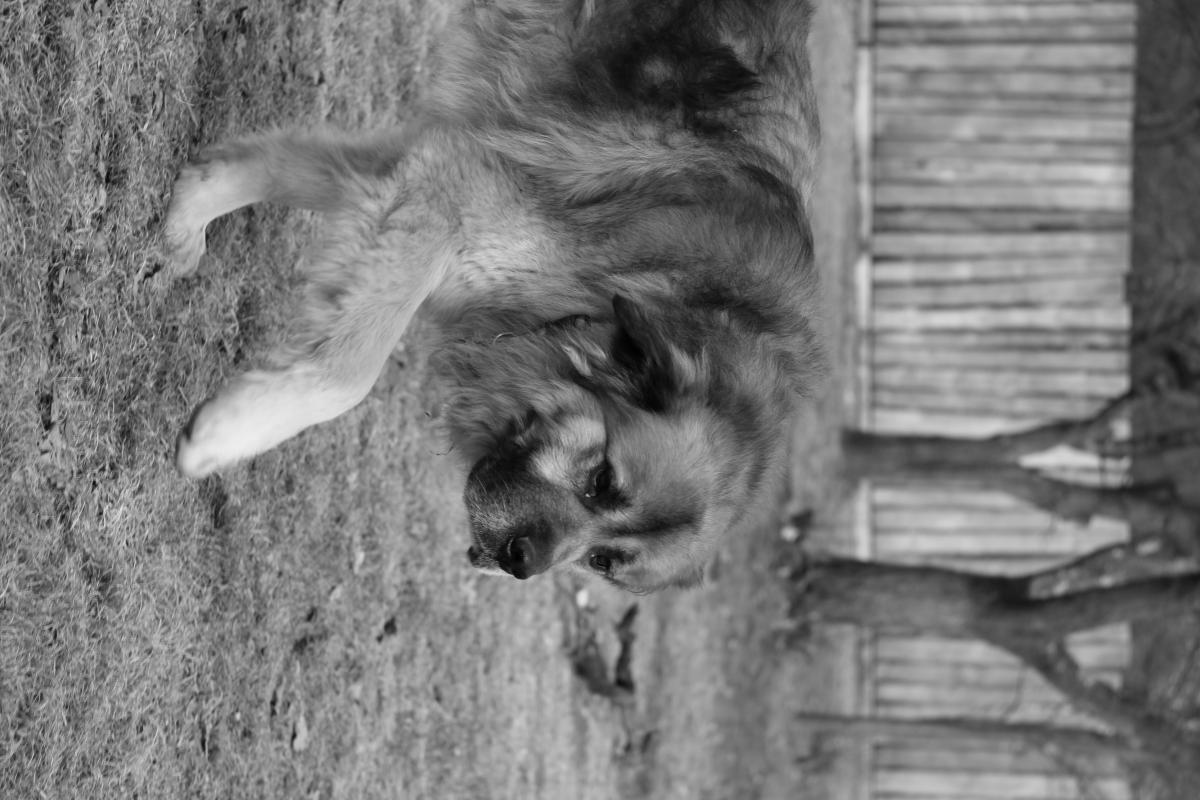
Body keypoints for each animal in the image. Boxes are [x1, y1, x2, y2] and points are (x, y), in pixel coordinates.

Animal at [164, 0, 824, 593]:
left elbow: (291, 167)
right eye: (602, 482)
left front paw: (193, 203)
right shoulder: (455, 197)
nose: (520, 563)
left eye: (602, 561)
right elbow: (347, 376)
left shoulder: (444, 161)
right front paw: (224, 435)